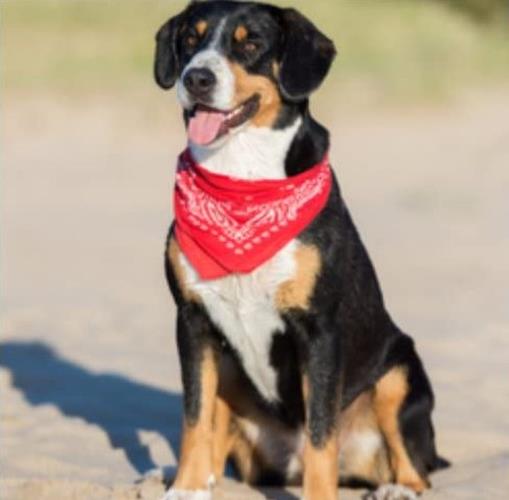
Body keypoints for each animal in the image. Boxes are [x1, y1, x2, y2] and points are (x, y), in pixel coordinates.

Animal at [154, 0, 444, 500]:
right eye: (190, 39)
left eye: (251, 44)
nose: (196, 78)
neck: (242, 183)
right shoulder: (193, 322)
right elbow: (194, 417)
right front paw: (187, 487)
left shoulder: (319, 331)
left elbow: (321, 435)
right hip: (230, 372)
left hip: (399, 375)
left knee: (414, 463)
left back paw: (399, 488)